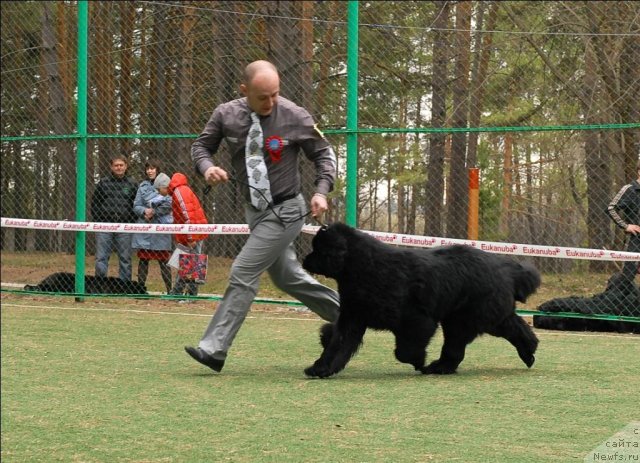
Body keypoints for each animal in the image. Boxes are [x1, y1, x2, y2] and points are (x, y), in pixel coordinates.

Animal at [302, 223, 544, 378]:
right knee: (514, 327)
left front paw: (418, 361)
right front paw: (320, 368)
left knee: (457, 346)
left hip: (466, 319)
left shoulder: (417, 321)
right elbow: (337, 345)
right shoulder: (352, 318)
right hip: (473, 317)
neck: (364, 267)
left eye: (318, 249)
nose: (304, 260)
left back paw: (436, 367)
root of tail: (506, 268)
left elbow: (404, 351)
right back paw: (528, 353)